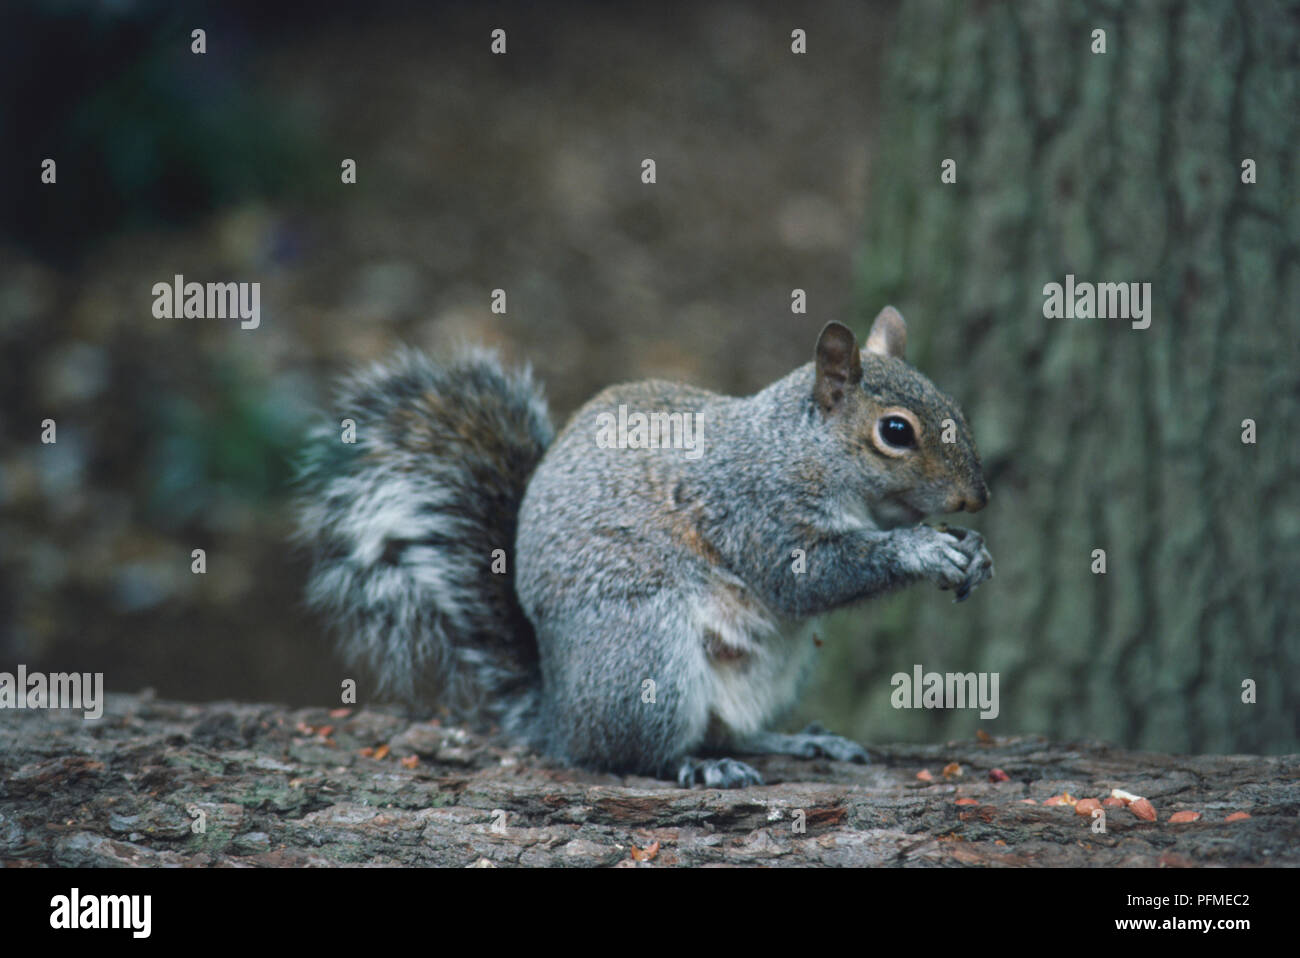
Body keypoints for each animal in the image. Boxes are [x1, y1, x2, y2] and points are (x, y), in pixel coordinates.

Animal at [295, 307, 992, 788]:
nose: (977, 497)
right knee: (631, 754)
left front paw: (976, 552)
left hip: (772, 670)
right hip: (642, 653)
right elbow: (807, 578)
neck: (798, 449)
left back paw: (794, 742)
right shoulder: (754, 511)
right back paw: (692, 767)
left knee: (728, 731)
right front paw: (920, 549)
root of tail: (560, 713)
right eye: (896, 432)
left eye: (957, 406)